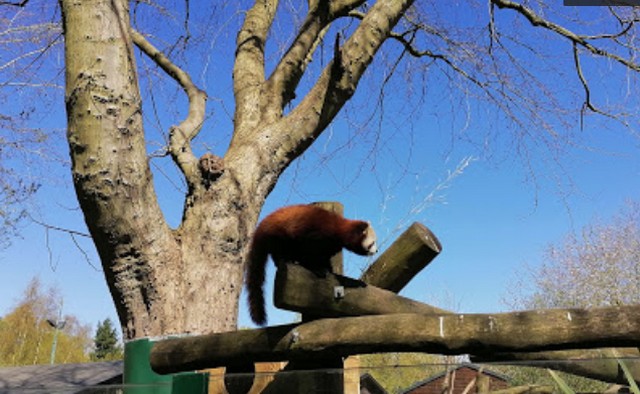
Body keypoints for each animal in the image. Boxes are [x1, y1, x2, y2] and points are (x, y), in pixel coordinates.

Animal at [244, 205, 376, 324]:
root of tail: (262, 225)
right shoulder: (314, 236)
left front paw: (328, 268)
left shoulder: (329, 246)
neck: (337, 229)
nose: (377, 250)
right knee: (280, 251)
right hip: (279, 236)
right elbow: (309, 254)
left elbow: (324, 258)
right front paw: (318, 269)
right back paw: (285, 260)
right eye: (372, 243)